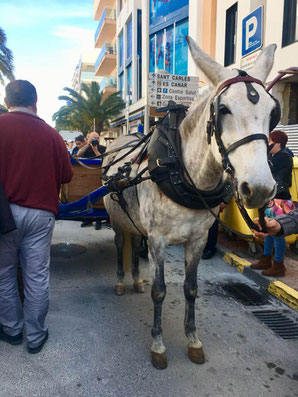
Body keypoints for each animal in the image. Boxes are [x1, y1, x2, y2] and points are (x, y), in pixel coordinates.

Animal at [103, 38, 278, 368]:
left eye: (273, 111)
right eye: (223, 109)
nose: (260, 188)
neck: (185, 173)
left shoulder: (197, 240)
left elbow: (191, 288)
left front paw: (193, 340)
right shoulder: (158, 240)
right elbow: (160, 291)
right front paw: (158, 345)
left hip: (137, 223)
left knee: (134, 241)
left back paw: (136, 279)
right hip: (116, 217)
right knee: (120, 244)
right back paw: (120, 281)